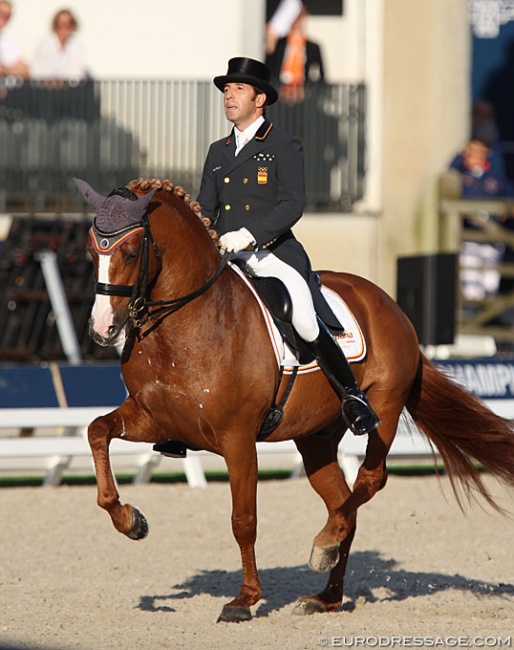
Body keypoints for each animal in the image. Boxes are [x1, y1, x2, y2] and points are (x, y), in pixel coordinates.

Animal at [81, 175, 514, 620]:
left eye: (132, 252)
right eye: (91, 250)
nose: (102, 328)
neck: (184, 327)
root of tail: (390, 304)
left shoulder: (237, 439)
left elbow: (244, 520)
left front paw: (245, 599)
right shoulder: (154, 417)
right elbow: (97, 431)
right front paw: (130, 521)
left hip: (385, 407)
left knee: (370, 479)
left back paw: (324, 545)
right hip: (315, 437)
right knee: (342, 502)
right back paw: (327, 591)